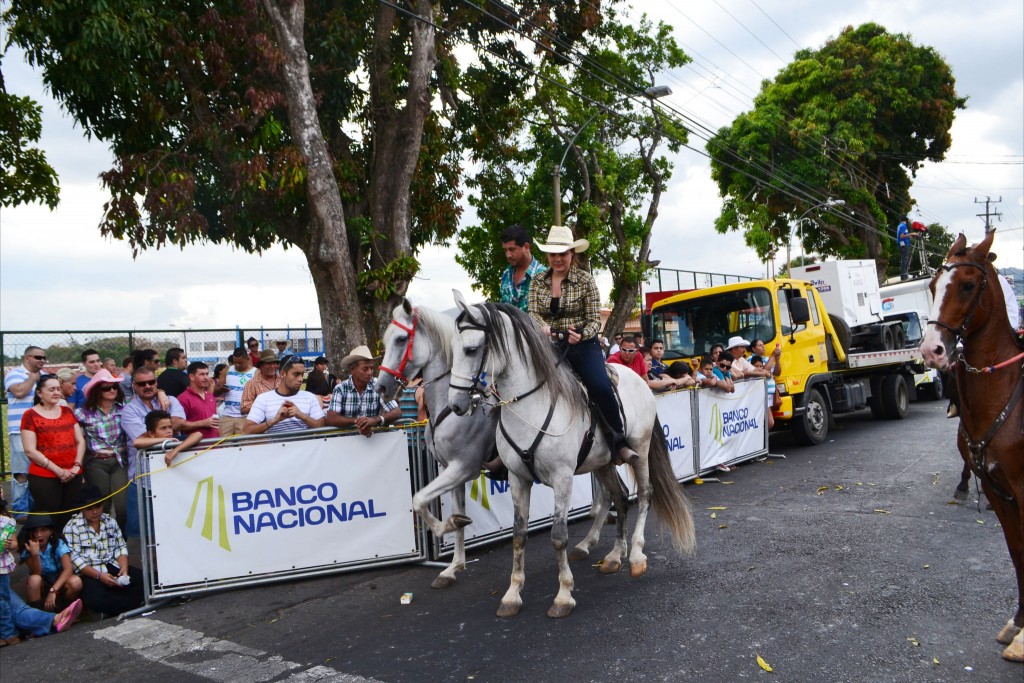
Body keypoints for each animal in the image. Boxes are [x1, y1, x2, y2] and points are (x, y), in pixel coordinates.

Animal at [378, 301, 501, 589]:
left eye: (401, 339)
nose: (381, 387)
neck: (450, 405)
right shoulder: (451, 470)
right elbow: (456, 512)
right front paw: (453, 567)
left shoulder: (464, 467)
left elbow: (419, 499)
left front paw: (446, 526)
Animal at [448, 294, 696, 618]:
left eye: (471, 349)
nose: (455, 404)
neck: (532, 405)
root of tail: (639, 379)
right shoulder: (517, 478)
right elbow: (518, 534)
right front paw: (512, 595)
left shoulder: (562, 478)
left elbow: (558, 536)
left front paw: (564, 594)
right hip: (603, 463)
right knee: (619, 498)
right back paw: (614, 555)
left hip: (639, 452)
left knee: (644, 495)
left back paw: (636, 556)